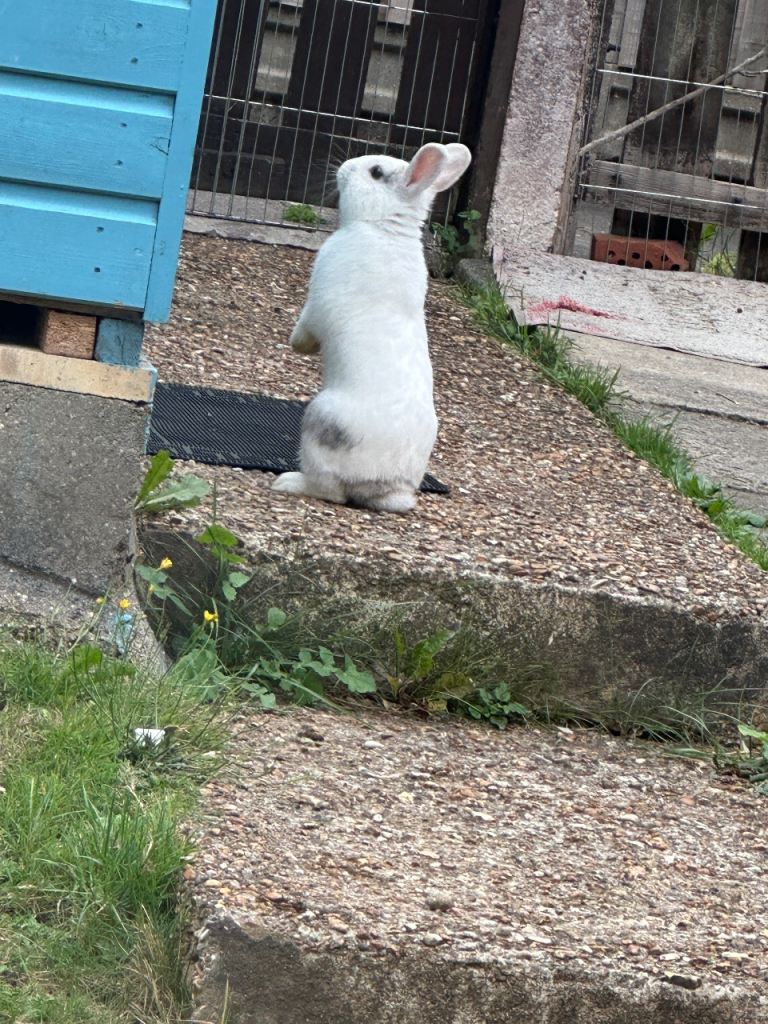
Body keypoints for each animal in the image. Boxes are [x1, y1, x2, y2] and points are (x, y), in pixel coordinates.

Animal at [272, 141, 472, 513]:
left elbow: (308, 325)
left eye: (376, 173)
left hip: (320, 420)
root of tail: (386, 487)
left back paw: (288, 482)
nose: (344, 168)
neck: (384, 228)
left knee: (331, 490)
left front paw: (297, 345)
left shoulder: (317, 301)